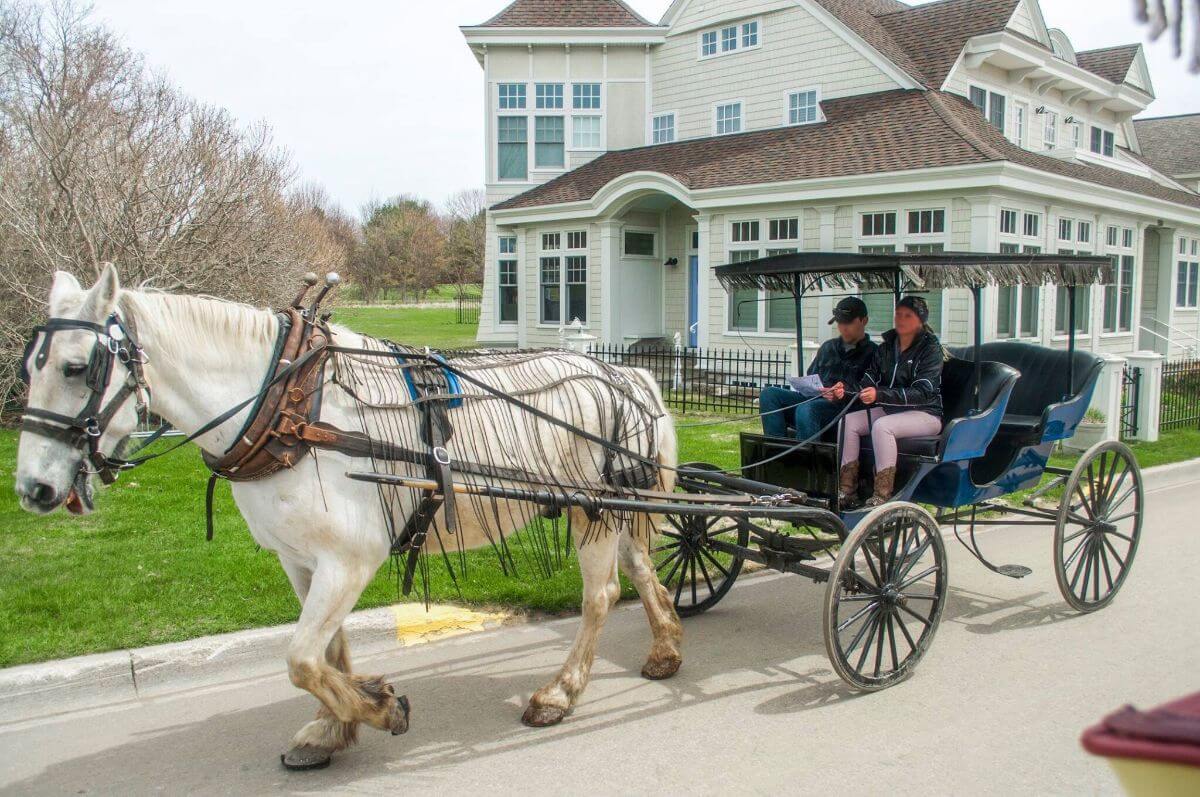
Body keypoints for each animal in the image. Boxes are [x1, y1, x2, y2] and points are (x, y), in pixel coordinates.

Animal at [14, 267, 681, 772]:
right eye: (29, 368)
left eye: (77, 368)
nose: (32, 489)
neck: (292, 408)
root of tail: (625, 373)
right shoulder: (302, 559)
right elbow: (327, 651)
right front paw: (331, 729)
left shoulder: (351, 558)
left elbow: (300, 659)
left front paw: (380, 708)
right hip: (619, 508)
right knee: (642, 569)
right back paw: (666, 649)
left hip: (592, 509)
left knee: (601, 594)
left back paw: (559, 694)